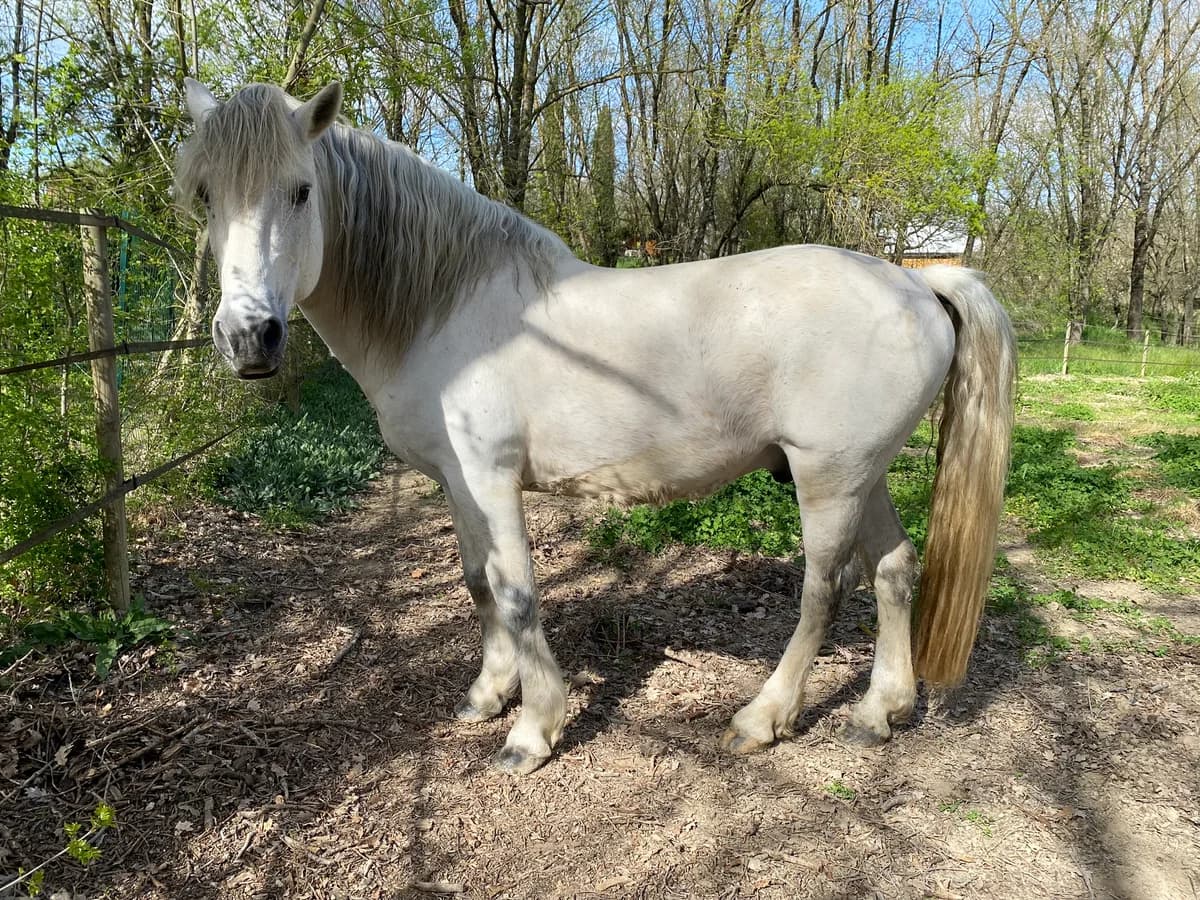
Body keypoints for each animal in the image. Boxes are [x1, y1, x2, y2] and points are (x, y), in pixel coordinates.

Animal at [175, 79, 1016, 775]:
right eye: (206, 195)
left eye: (300, 190)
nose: (249, 338)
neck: (447, 308)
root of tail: (913, 280)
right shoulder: (457, 483)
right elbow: (477, 584)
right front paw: (488, 695)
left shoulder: (491, 480)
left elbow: (517, 594)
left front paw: (533, 731)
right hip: (861, 473)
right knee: (895, 571)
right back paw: (880, 711)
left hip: (827, 478)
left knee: (823, 592)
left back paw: (763, 717)